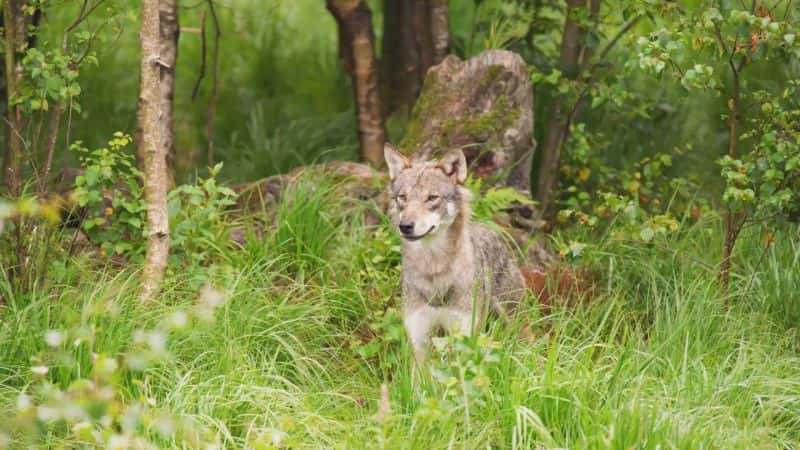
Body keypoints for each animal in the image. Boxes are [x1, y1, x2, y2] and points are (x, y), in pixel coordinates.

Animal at [384, 146, 528, 364]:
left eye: (432, 198)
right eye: (403, 197)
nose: (405, 226)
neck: (432, 269)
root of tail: (492, 229)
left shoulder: (464, 339)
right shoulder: (419, 342)